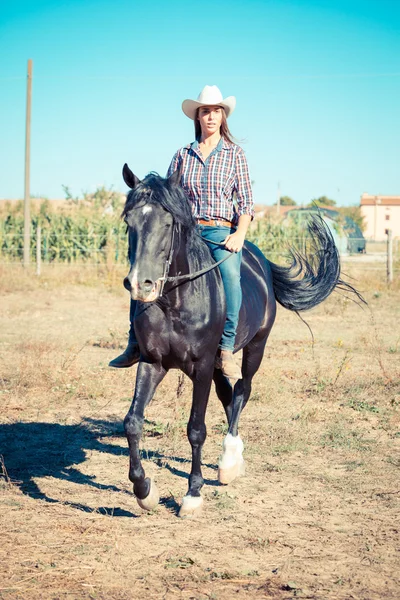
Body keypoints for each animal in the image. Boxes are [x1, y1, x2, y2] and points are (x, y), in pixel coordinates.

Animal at [120, 163, 358, 516]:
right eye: (129, 222)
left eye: (168, 223)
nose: (141, 284)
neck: (176, 302)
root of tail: (260, 260)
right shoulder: (153, 363)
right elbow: (133, 422)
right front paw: (144, 490)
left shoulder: (202, 366)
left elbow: (196, 429)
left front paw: (193, 494)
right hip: (219, 362)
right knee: (228, 394)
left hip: (254, 347)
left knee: (243, 389)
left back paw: (230, 461)